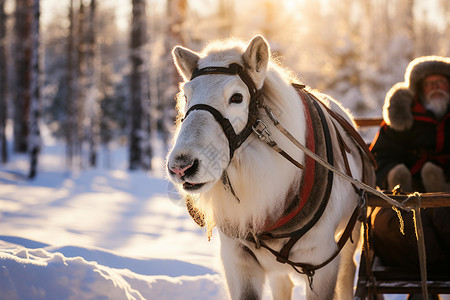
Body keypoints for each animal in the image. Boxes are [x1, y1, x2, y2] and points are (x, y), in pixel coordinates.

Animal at [167, 35, 374, 300]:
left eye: (237, 97)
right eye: (186, 96)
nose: (181, 166)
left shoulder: (321, 262)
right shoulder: (239, 262)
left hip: (351, 237)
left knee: (349, 272)